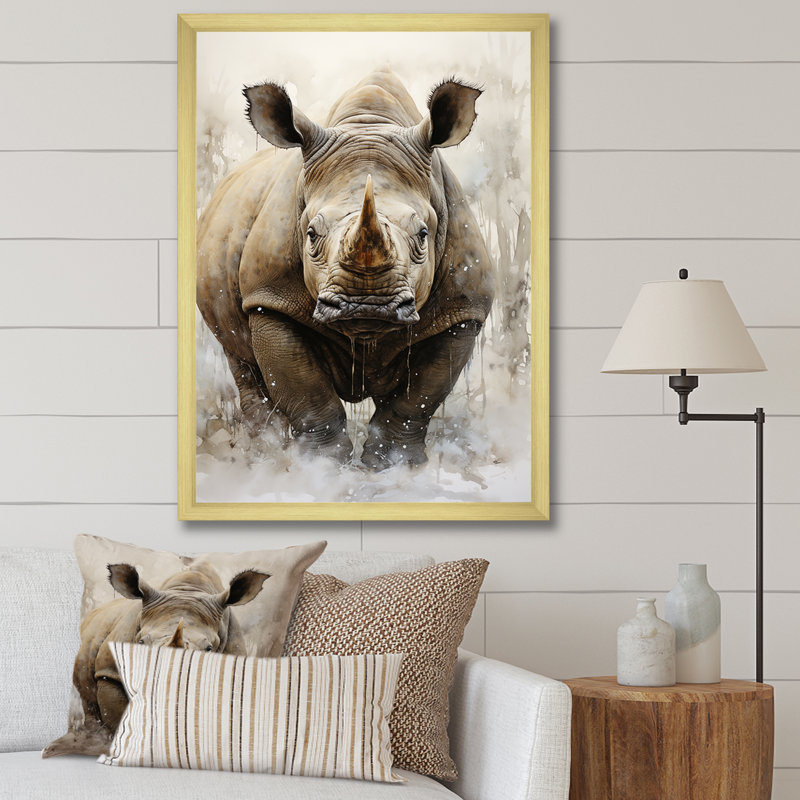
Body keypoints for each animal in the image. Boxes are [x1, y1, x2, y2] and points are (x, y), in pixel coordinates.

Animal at [197, 68, 494, 469]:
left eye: (423, 235)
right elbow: (308, 395)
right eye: (310, 234)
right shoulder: (269, 298)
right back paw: (263, 452)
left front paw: (394, 466)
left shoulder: (461, 311)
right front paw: (321, 468)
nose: (367, 305)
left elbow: (417, 399)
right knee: (240, 359)